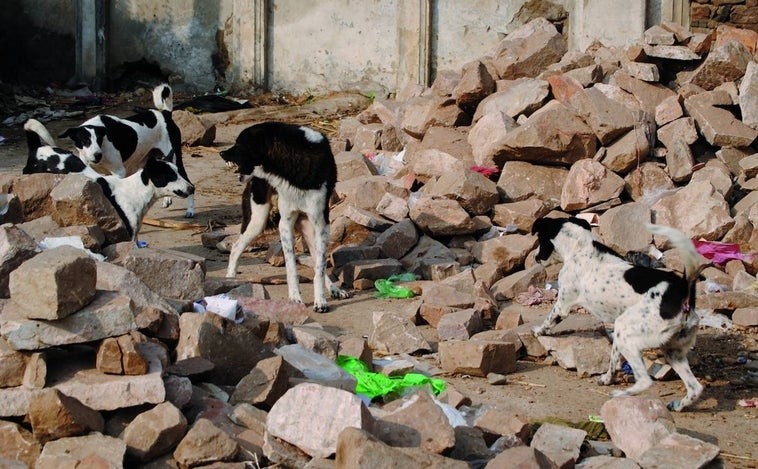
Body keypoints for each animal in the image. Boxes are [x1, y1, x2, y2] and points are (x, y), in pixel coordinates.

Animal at [60, 83, 196, 218]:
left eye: (99, 139)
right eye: (84, 141)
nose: (97, 155)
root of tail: (165, 113)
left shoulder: (119, 172)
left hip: (175, 157)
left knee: (188, 182)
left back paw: (190, 210)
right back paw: (167, 198)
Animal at [220, 120, 350, 310]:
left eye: (239, 143)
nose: (221, 153)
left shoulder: (321, 224)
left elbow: (319, 267)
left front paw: (320, 300)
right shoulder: (285, 223)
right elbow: (291, 267)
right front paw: (295, 298)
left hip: (308, 228)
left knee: (316, 260)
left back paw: (334, 289)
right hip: (257, 220)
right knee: (236, 247)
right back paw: (230, 279)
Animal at [532, 216, 708, 410]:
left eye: (539, 238)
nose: (535, 257)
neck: (581, 246)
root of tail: (683, 289)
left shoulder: (562, 304)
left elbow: (548, 320)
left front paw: (538, 331)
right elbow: (614, 359)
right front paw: (608, 378)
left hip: (627, 332)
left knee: (645, 381)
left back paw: (621, 395)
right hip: (671, 350)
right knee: (695, 388)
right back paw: (678, 405)